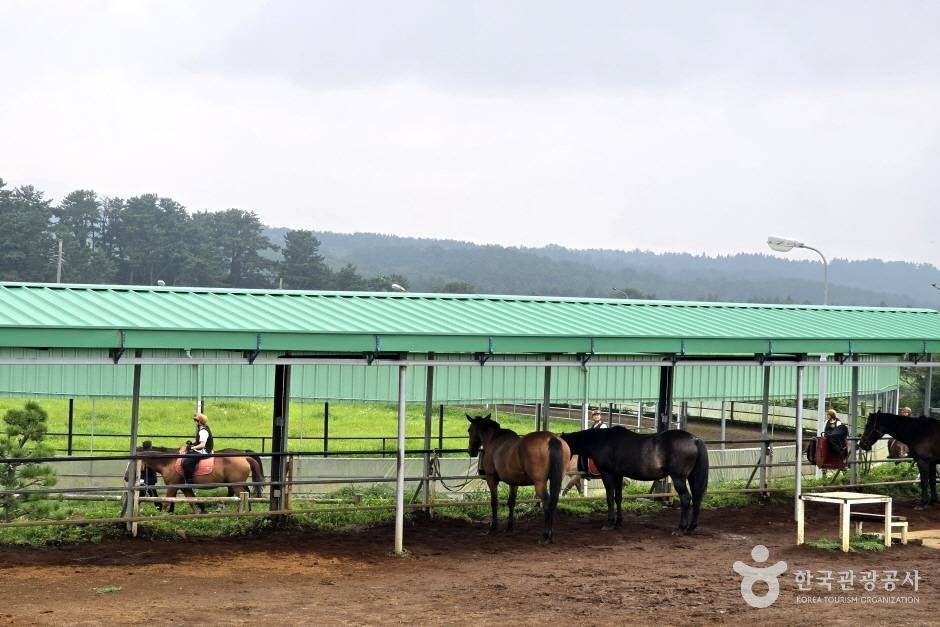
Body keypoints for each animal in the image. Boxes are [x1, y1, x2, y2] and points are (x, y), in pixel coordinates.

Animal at [134, 442, 264, 516]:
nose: (126, 476)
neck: (168, 462)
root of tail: (245, 457)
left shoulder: (172, 486)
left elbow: (167, 502)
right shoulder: (184, 487)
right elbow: (192, 500)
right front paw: (198, 513)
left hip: (236, 484)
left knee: (242, 495)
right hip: (235, 483)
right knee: (244, 493)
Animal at [466, 414, 568, 544]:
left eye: (469, 430)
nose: (471, 451)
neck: (494, 440)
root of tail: (551, 438)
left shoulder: (491, 479)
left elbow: (494, 502)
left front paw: (493, 527)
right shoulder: (513, 482)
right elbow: (511, 502)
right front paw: (509, 527)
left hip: (540, 483)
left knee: (546, 503)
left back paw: (546, 535)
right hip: (556, 479)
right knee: (553, 503)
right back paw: (551, 536)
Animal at [560, 426, 708, 536]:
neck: (602, 441)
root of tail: (694, 439)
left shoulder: (607, 474)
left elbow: (609, 498)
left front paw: (609, 523)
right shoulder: (618, 475)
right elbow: (618, 497)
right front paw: (618, 522)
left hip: (678, 478)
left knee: (686, 499)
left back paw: (680, 528)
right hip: (692, 477)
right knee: (696, 498)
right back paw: (691, 528)